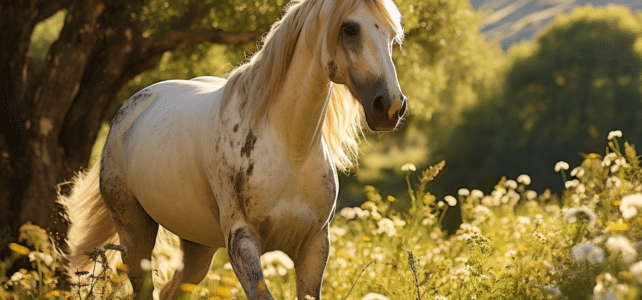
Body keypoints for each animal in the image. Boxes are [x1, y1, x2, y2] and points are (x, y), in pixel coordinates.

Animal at [61, 0, 404, 298]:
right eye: (350, 28)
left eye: (392, 36)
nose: (390, 107)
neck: (290, 150)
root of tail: (128, 111)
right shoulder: (243, 241)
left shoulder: (315, 246)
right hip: (135, 234)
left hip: (197, 245)